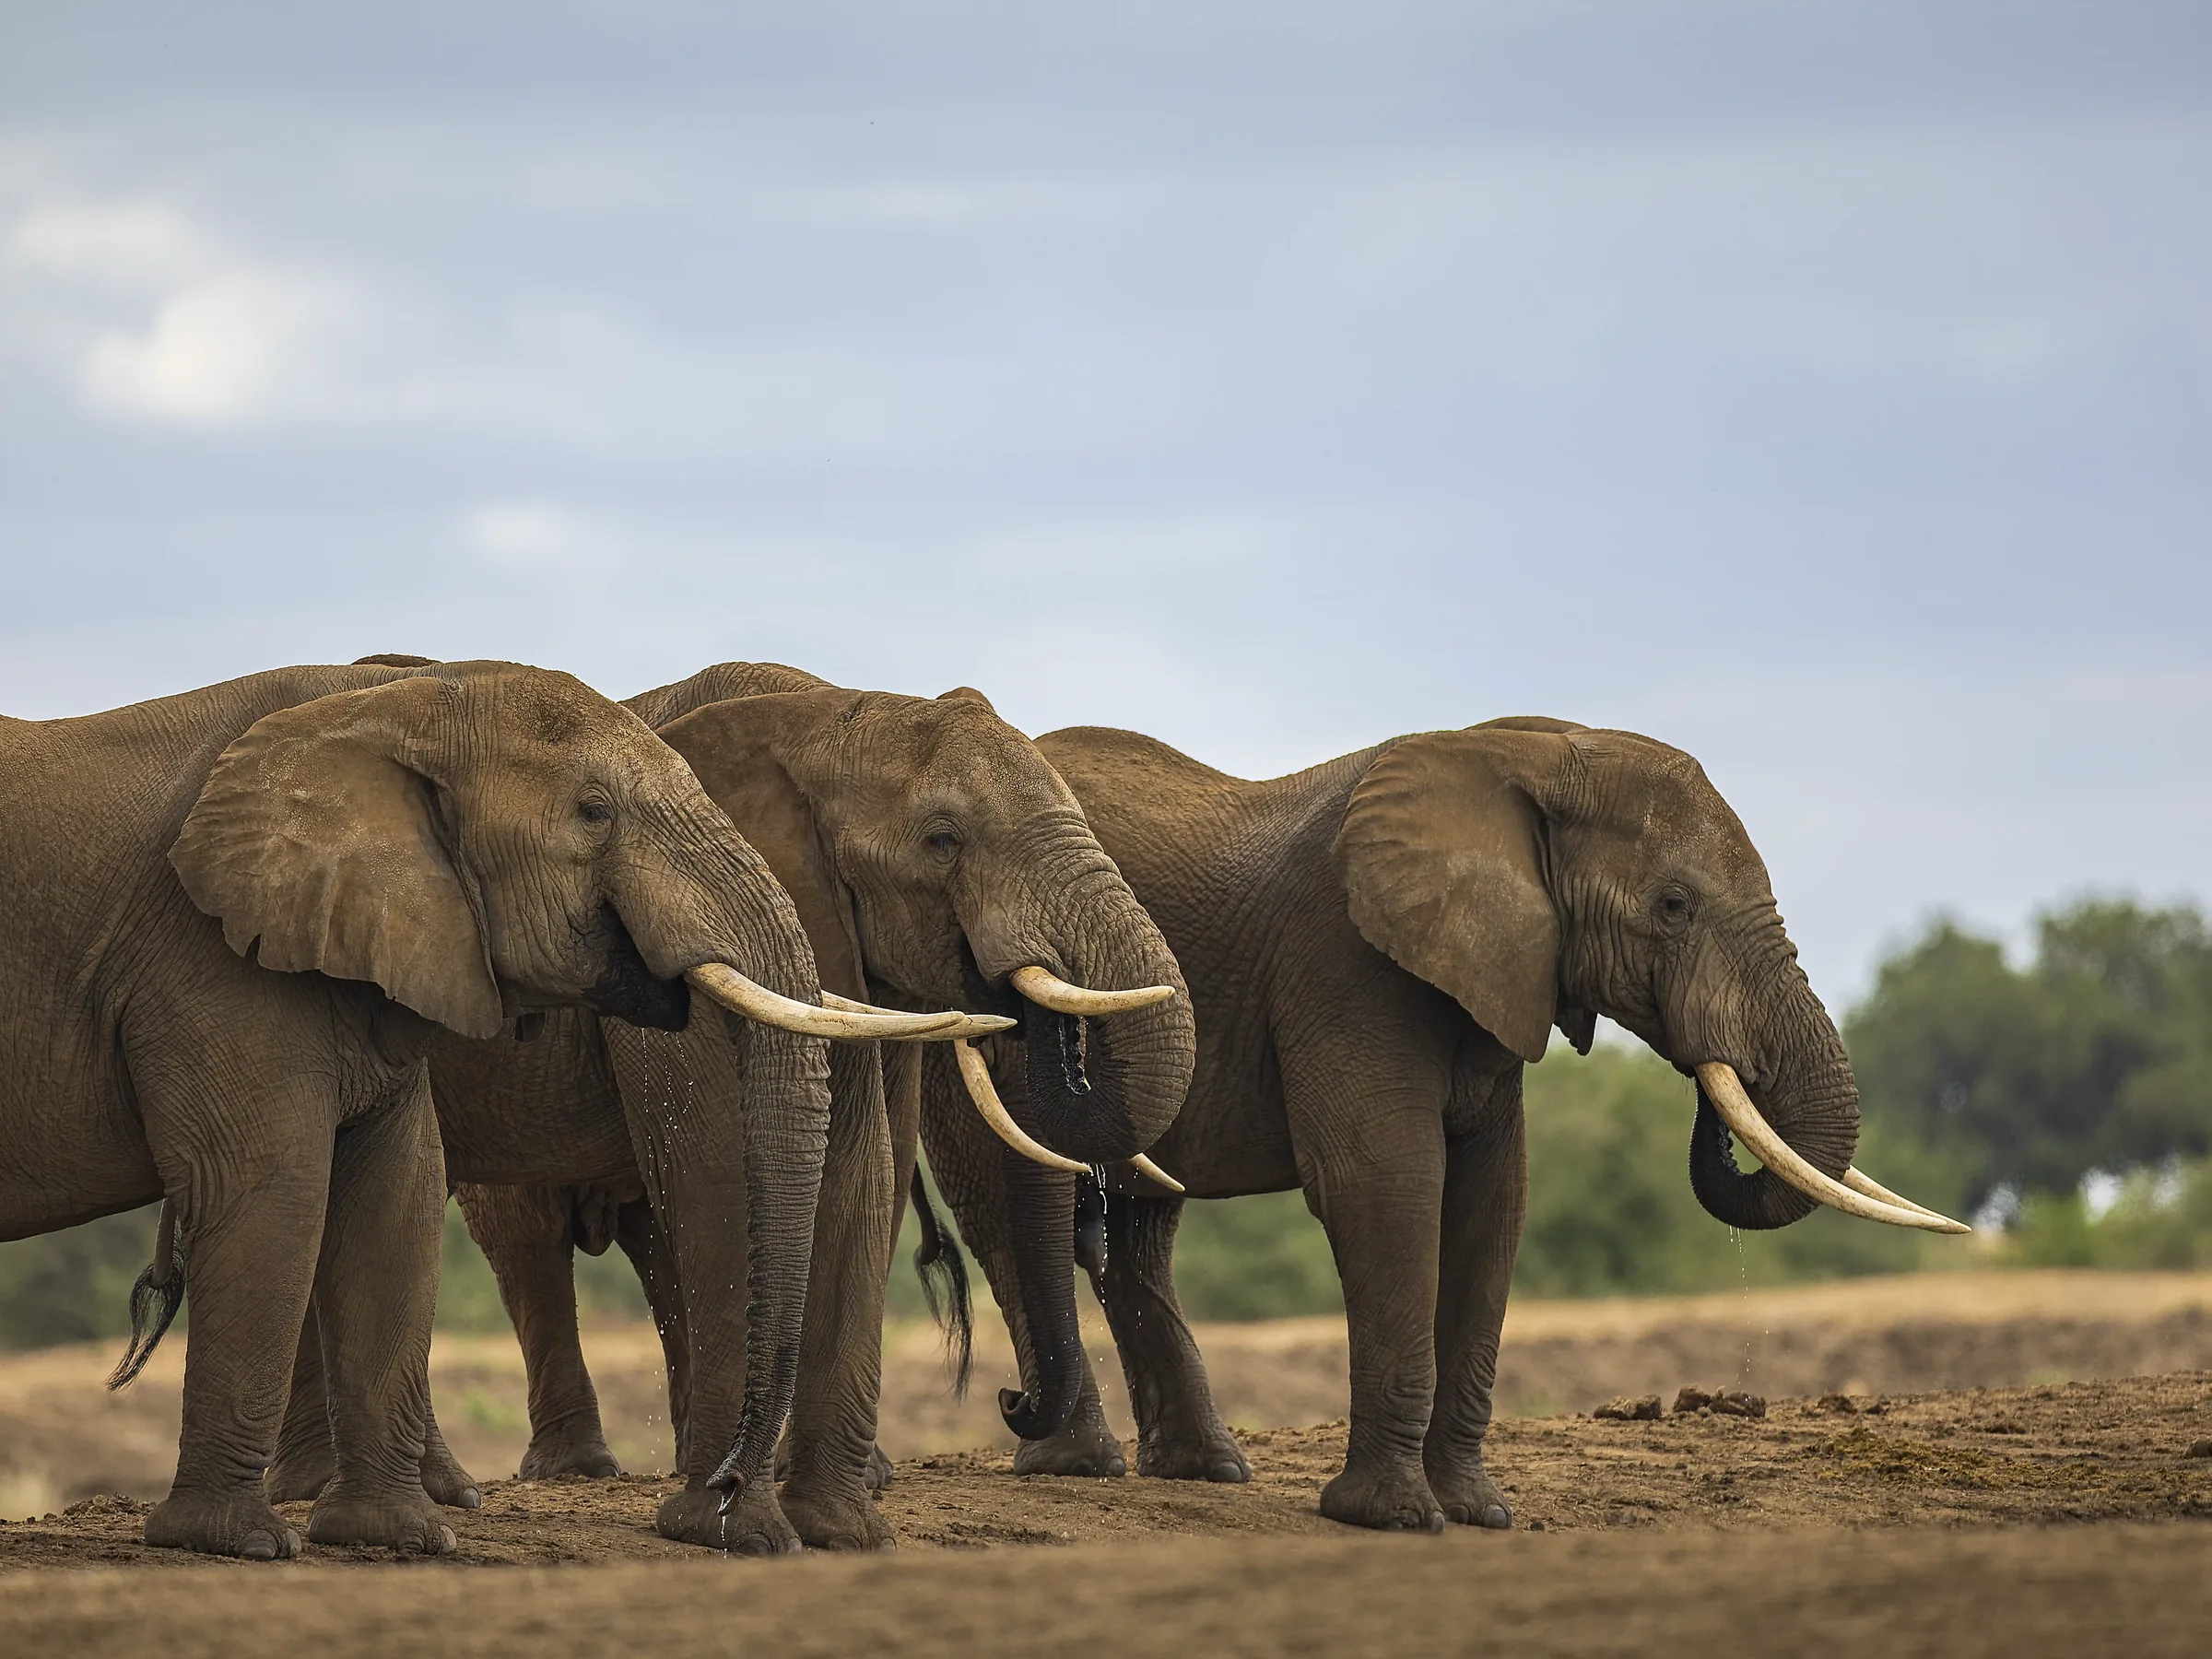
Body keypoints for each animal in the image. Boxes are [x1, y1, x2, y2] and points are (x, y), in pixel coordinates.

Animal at [0, 658, 953, 1560]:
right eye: (594, 812)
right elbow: (272, 1187)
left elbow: (396, 1190)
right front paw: (239, 1543)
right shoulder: (208, 956)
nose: (720, 1490)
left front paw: (399, 1539)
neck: (390, 705)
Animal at [277, 662, 1195, 1550]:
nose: (1009, 1401)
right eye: (942, 840)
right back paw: (442, 1488)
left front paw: (840, 1530)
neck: (826, 714)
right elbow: (718, 1165)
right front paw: (733, 1528)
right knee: (510, 1232)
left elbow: (863, 1171)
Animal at [919, 715, 1965, 1531]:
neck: (1528, 753)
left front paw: (1479, 1513)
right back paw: (1076, 1462)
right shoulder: (1348, 963)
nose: (1713, 1088)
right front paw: (1392, 1519)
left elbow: (1493, 1201)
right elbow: (1386, 1186)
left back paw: (1205, 1470)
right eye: (1673, 906)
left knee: (1141, 1227)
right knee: (1023, 1208)